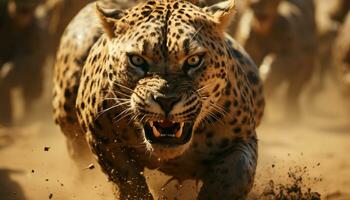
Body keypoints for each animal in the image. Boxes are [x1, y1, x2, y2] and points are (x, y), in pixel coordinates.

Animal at [52, 0, 266, 199]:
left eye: (193, 60)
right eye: (137, 60)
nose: (166, 101)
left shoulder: (242, 139)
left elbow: (235, 174)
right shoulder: (103, 141)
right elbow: (129, 183)